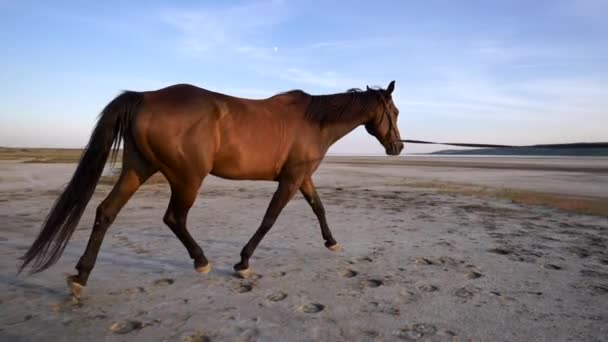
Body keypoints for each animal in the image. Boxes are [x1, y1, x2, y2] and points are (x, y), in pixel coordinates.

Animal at [19, 80, 404, 296]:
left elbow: (318, 207)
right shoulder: (291, 179)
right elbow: (269, 219)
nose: (398, 147)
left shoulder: (303, 177)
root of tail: (145, 97)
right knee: (174, 218)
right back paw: (201, 260)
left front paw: (332, 242)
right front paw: (243, 262)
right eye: (396, 112)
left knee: (106, 212)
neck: (314, 122)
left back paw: (81, 276)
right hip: (187, 178)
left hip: (137, 170)